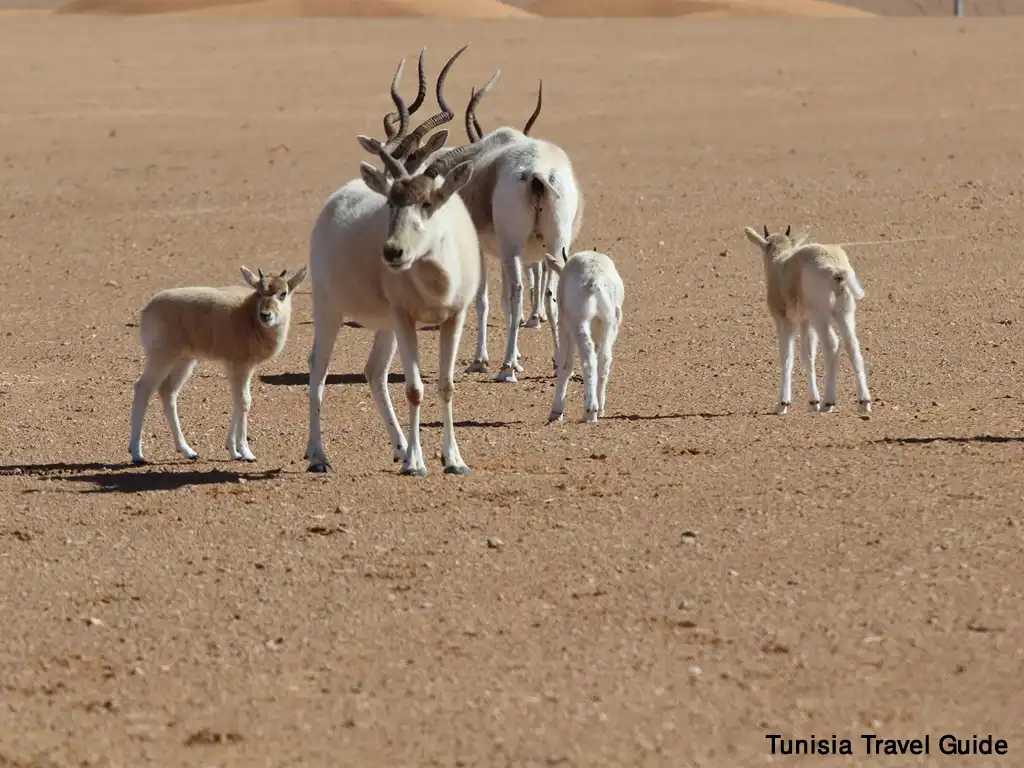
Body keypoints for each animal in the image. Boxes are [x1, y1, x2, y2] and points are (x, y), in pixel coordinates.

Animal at [128, 268, 305, 466]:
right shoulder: (239, 365)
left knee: (168, 392)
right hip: (162, 357)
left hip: (184, 361)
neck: (247, 315)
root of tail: (148, 309)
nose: (266, 315)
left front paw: (234, 451)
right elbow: (244, 401)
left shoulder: (241, 367)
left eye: (283, 293)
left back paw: (188, 451)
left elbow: (238, 401)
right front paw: (246, 452)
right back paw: (137, 454)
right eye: (259, 292)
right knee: (143, 389)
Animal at [544, 249, 622, 423]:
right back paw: (600, 409)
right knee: (604, 360)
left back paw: (590, 411)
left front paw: (556, 412)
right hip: (608, 325)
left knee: (589, 360)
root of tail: (595, 280)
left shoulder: (565, 326)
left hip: (578, 325)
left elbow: (565, 366)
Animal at [745, 224, 872, 415]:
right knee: (853, 347)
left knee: (833, 345)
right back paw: (864, 402)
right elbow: (808, 356)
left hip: (821, 316)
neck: (782, 264)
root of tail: (836, 268)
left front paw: (783, 404)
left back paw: (829, 403)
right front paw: (813, 402)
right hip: (844, 314)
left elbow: (787, 356)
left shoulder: (785, 321)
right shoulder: (806, 321)